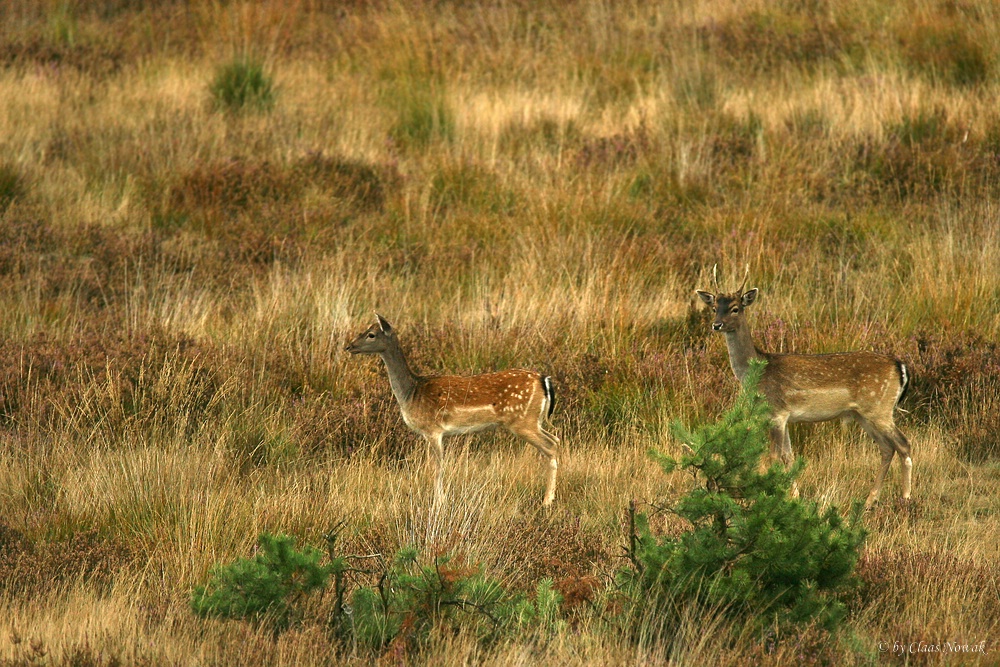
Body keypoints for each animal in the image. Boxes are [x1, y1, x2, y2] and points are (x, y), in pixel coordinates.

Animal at [348, 316, 560, 504]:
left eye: (371, 334)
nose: (349, 346)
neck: (411, 393)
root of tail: (544, 380)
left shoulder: (432, 429)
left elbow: (437, 467)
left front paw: (438, 502)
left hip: (522, 421)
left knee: (550, 445)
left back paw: (547, 501)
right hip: (534, 420)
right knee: (556, 439)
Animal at [700, 266, 912, 506]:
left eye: (735, 308)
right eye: (714, 308)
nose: (716, 324)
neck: (758, 373)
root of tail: (900, 366)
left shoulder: (776, 412)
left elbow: (773, 457)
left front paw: (762, 497)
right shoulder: (784, 417)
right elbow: (789, 457)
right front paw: (795, 497)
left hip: (879, 407)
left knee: (903, 444)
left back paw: (906, 498)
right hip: (863, 414)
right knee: (886, 448)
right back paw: (870, 501)